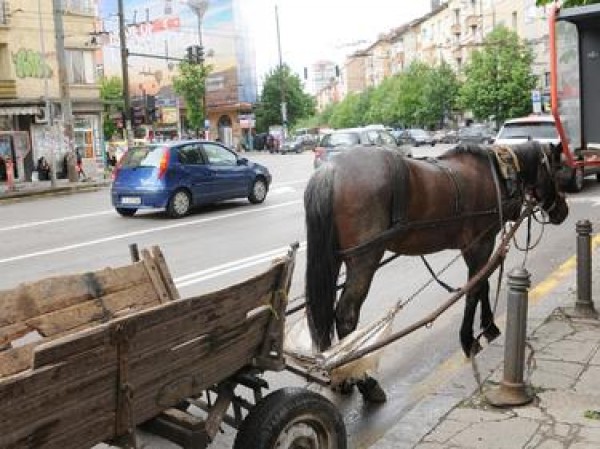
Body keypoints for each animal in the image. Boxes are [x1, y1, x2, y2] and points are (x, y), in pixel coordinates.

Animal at [302, 141, 568, 402]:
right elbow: (475, 288)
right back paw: (365, 382)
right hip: (364, 259)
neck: (500, 173)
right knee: (346, 315)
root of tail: (331, 169)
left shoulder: (476, 245)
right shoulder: (481, 244)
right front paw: (469, 339)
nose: (563, 212)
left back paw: (340, 375)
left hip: (336, 259)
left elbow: (483, 284)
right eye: (559, 169)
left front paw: (489, 327)